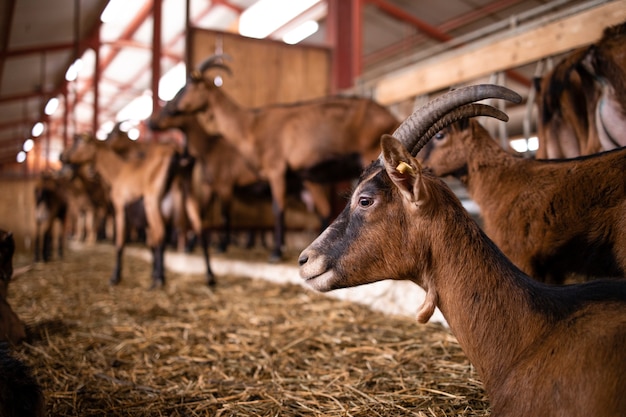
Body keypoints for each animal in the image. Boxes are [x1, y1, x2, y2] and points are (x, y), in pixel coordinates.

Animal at [60, 132, 214, 288]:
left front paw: (115, 278)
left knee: (162, 234)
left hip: (152, 202)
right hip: (190, 197)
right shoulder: (146, 223)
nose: (62, 156)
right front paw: (153, 273)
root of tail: (178, 154)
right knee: (200, 232)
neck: (118, 172)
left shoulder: (120, 207)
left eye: (78, 142)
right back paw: (209, 277)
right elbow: (151, 245)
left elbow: (120, 242)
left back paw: (159, 281)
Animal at [173, 55, 398, 260]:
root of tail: (391, 116)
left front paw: (275, 253)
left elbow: (276, 208)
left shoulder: (275, 170)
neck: (251, 126)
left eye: (188, 86)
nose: (171, 108)